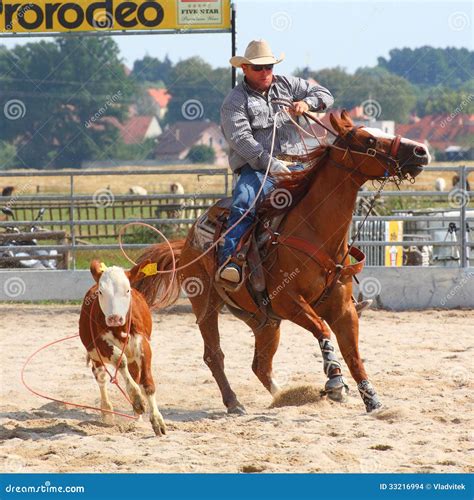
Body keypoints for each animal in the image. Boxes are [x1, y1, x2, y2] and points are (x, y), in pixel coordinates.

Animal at [78, 260, 166, 436]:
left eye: (127, 290)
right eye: (101, 292)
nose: (114, 318)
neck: (120, 329)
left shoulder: (143, 344)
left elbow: (147, 383)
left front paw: (157, 419)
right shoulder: (100, 344)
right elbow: (120, 359)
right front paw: (136, 398)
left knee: (134, 374)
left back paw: (137, 418)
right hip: (96, 357)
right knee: (101, 378)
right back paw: (107, 411)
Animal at [133, 112, 430, 414]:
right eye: (369, 140)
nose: (421, 151)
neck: (315, 231)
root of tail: (187, 241)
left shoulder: (343, 309)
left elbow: (354, 355)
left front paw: (372, 401)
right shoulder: (288, 301)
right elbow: (322, 329)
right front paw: (335, 382)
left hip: (265, 322)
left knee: (260, 365)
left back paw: (285, 396)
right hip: (205, 302)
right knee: (214, 355)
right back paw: (235, 402)